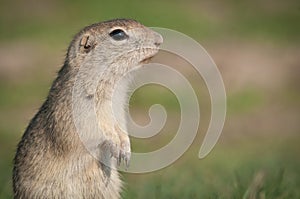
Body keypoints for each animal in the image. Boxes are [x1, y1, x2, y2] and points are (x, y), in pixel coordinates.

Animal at [12, 18, 163, 197]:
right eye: (118, 34)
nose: (160, 39)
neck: (112, 85)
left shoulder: (119, 110)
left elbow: (121, 128)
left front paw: (126, 150)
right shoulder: (79, 111)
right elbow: (95, 130)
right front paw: (115, 144)